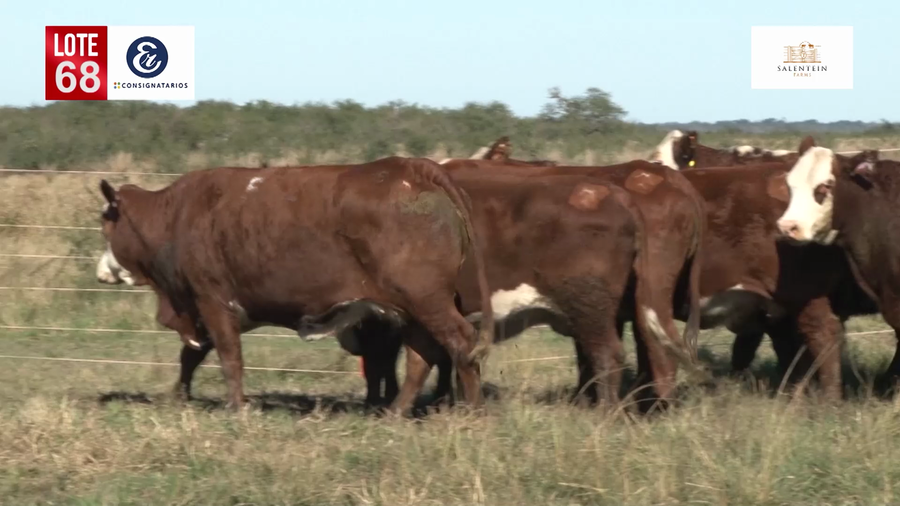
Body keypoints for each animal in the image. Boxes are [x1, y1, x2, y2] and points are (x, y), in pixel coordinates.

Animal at [95, 156, 494, 414]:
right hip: (409, 307)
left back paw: (470, 413)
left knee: (461, 343)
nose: (101, 270)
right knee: (420, 355)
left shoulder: (211, 300)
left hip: (427, 301)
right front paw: (178, 397)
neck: (175, 214)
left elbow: (229, 357)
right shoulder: (201, 308)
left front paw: (237, 408)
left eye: (105, 221)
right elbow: (191, 355)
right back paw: (395, 413)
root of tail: (414, 168)